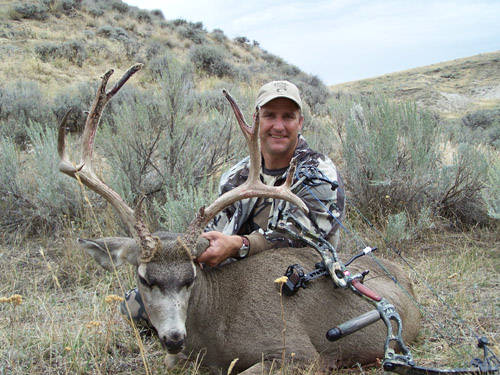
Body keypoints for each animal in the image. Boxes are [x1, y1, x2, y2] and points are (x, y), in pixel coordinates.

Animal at [58, 66, 420, 374]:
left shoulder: (298, 352)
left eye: (190, 277)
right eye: (146, 279)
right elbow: (172, 362)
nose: (174, 337)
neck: (215, 329)